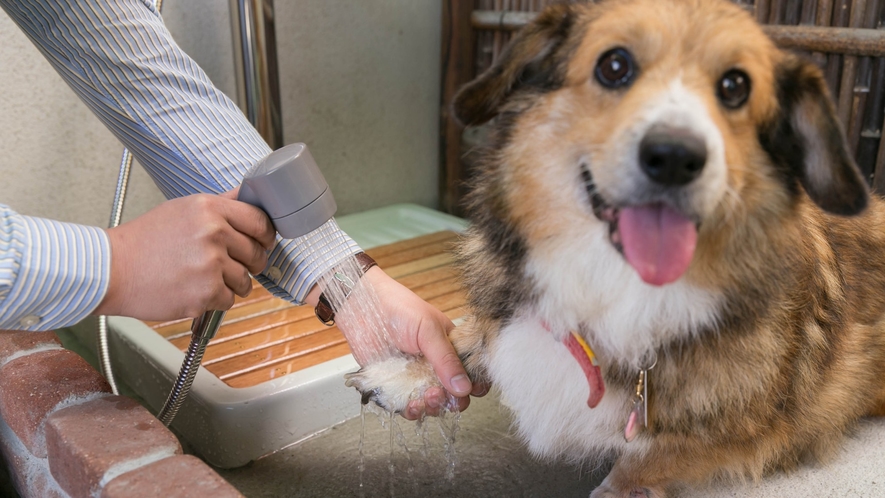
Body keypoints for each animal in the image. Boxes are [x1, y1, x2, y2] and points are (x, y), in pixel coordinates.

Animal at [342, 1, 884, 496]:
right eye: (614, 65)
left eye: (736, 86)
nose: (675, 157)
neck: (613, 282)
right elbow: (472, 334)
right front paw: (407, 373)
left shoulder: (746, 436)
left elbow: (641, 461)